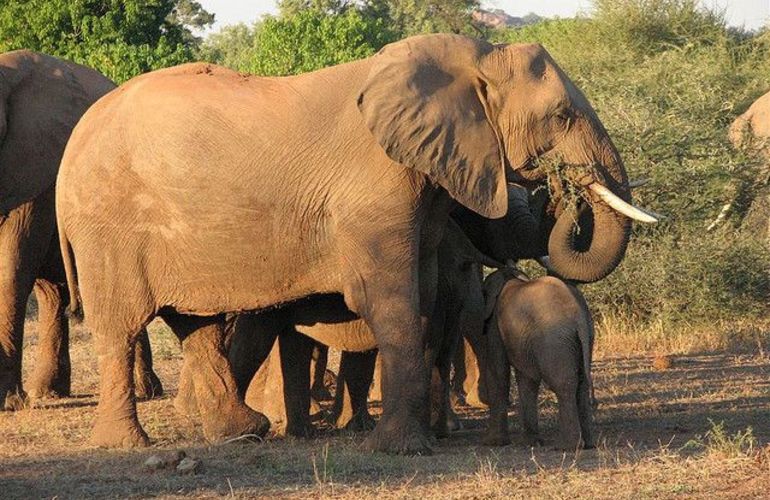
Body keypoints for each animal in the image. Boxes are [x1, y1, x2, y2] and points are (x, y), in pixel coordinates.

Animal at [0, 50, 162, 410]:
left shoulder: (37, 160)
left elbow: (11, 267)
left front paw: (6, 403)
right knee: (51, 291)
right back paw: (48, 392)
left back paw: (147, 391)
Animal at [481, 268, 595, 450]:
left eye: (483, 293)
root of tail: (579, 318)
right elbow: (527, 378)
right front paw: (530, 442)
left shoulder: (494, 326)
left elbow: (498, 371)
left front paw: (492, 443)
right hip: (585, 339)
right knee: (582, 384)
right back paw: (589, 444)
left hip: (553, 341)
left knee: (563, 385)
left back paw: (566, 446)